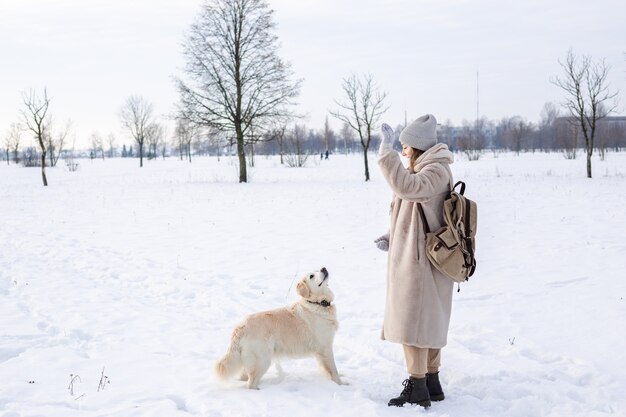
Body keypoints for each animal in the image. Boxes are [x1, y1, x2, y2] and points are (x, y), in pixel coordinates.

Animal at [214, 266, 342, 386]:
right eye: (311, 276)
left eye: (317, 270)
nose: (323, 268)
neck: (318, 303)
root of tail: (241, 326)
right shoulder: (325, 347)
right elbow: (333, 370)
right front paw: (340, 384)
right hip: (263, 359)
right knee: (251, 383)